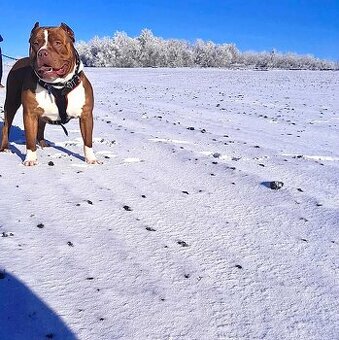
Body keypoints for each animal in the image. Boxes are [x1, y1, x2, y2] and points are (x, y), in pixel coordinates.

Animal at [0, 21, 100, 165]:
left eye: (57, 43)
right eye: (35, 43)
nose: (42, 53)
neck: (58, 86)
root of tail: (19, 61)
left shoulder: (86, 115)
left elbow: (87, 140)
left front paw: (91, 159)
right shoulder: (30, 114)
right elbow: (30, 139)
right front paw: (30, 159)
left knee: (41, 125)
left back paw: (42, 143)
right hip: (11, 103)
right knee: (6, 126)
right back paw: (5, 147)